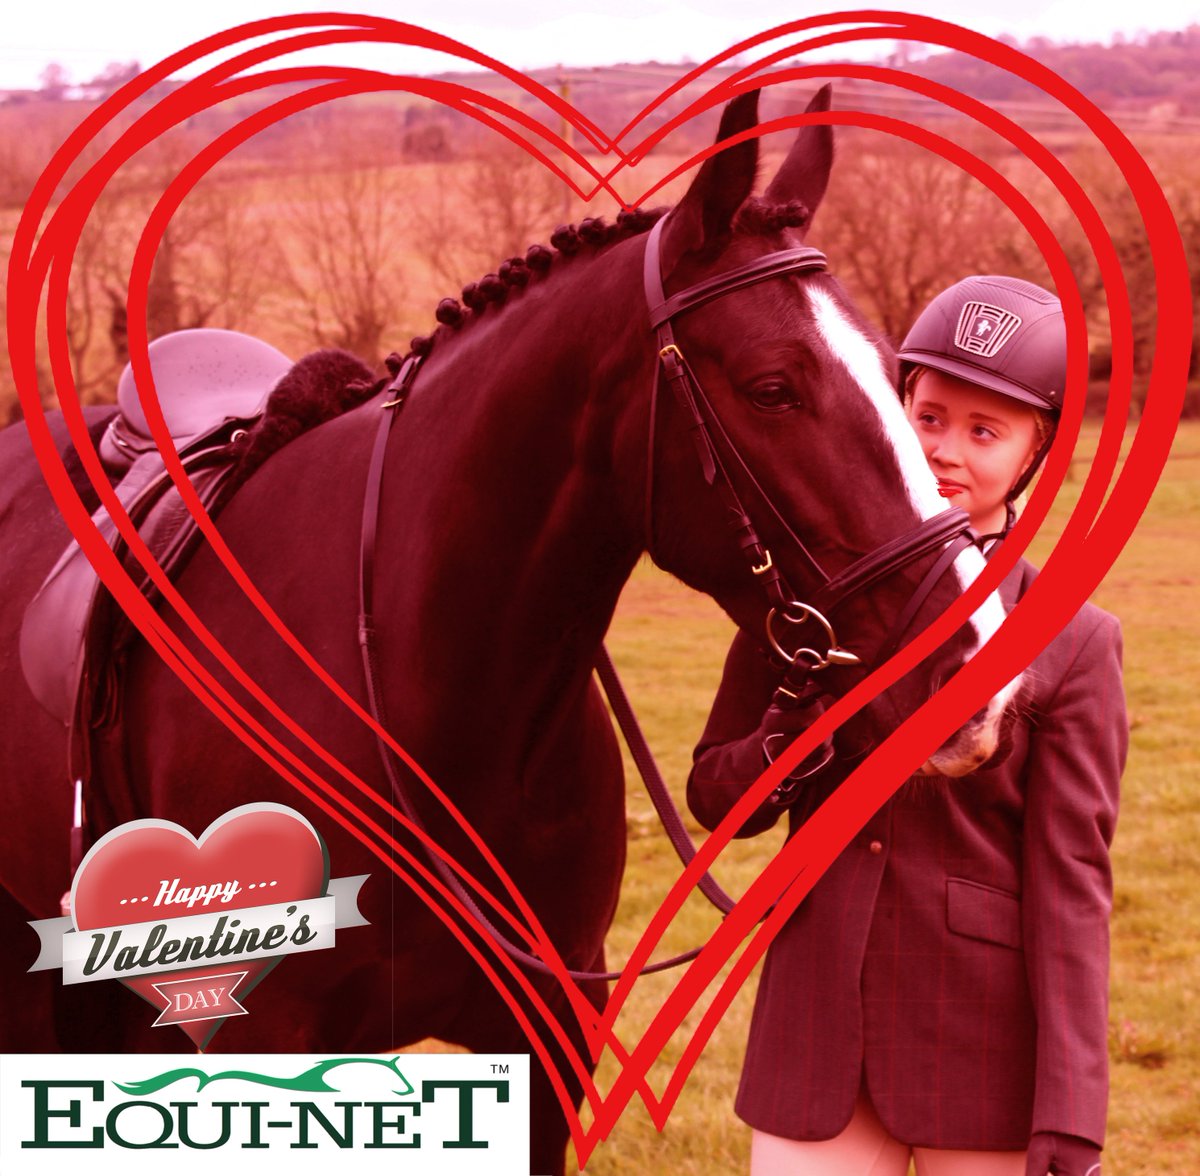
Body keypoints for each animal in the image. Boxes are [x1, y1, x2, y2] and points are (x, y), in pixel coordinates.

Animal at [0, 88, 1014, 1173]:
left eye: (893, 374)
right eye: (773, 387)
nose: (977, 669)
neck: (426, 690)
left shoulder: (545, 1035)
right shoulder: (260, 1037)